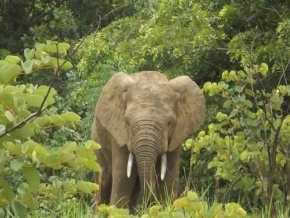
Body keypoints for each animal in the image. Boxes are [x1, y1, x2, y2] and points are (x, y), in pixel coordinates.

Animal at [92, 71, 205, 213]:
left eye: (169, 123)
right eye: (127, 122)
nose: (151, 207)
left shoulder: (176, 136)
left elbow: (169, 178)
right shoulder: (119, 134)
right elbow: (123, 179)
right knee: (103, 181)